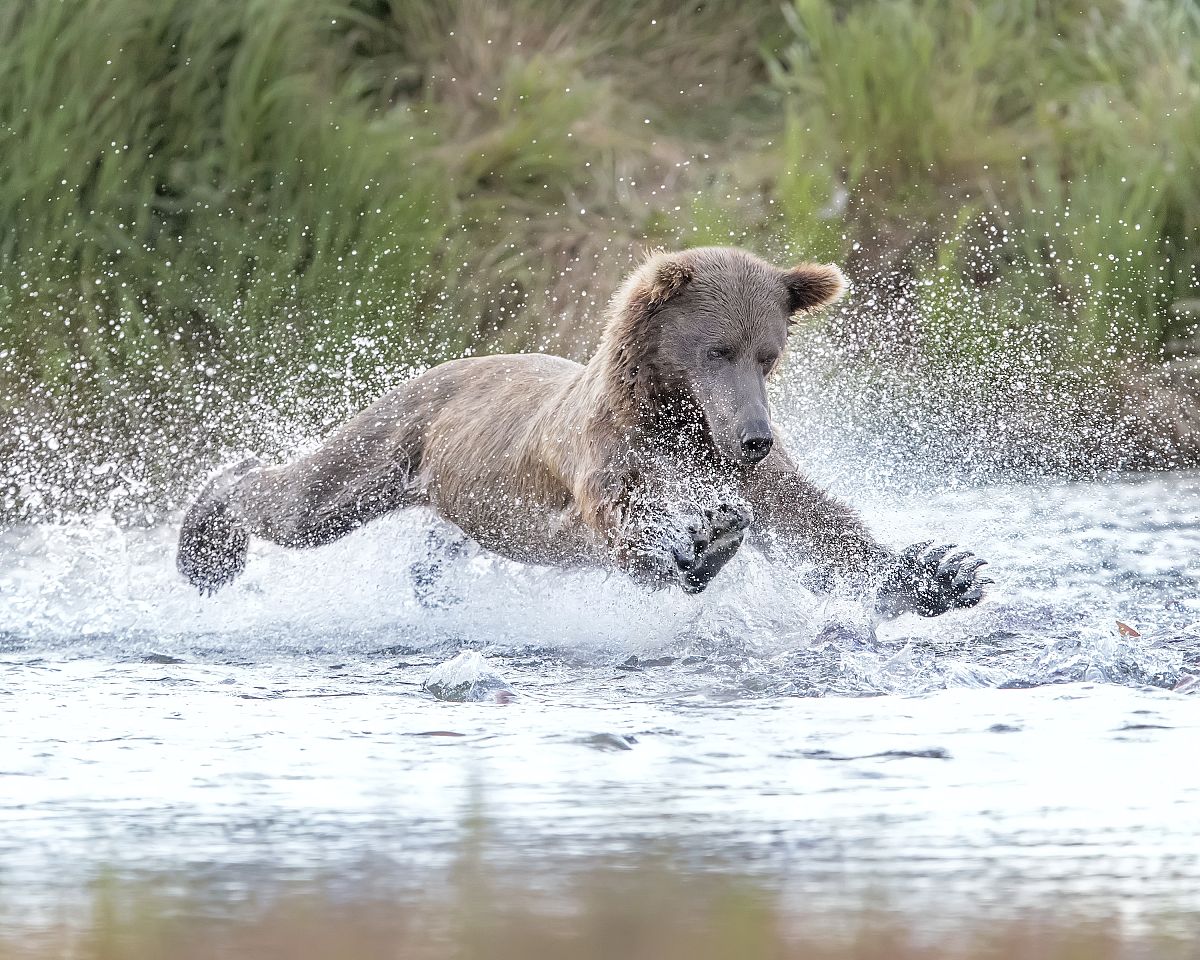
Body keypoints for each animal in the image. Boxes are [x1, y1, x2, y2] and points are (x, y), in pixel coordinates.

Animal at [177, 246, 989, 617]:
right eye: (718, 349)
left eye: (770, 354)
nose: (755, 434)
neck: (679, 419)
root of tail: (449, 362)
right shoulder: (604, 454)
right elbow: (627, 521)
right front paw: (701, 541)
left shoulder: (737, 465)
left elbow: (815, 524)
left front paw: (944, 573)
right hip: (400, 436)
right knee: (306, 500)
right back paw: (207, 542)